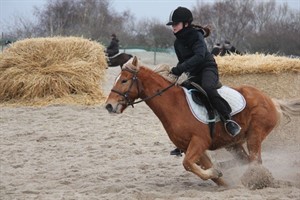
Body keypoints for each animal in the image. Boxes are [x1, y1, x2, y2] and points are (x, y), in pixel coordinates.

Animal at [105, 55, 300, 186]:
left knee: (255, 161)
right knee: (246, 160)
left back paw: (255, 180)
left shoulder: (199, 142)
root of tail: (271, 100)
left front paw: (216, 172)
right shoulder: (191, 147)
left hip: (254, 135)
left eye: (124, 80)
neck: (174, 105)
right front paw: (220, 176)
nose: (109, 106)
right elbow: (201, 168)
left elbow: (188, 164)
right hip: (233, 144)